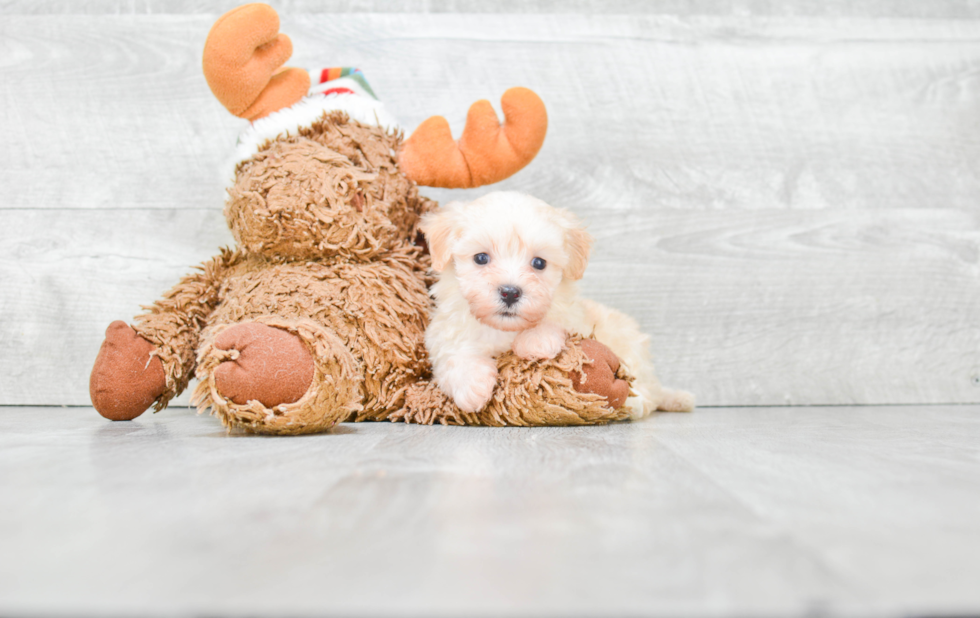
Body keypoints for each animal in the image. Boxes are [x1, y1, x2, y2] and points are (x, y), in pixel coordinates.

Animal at [418, 190, 692, 416]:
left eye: (539, 263)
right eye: (481, 258)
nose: (510, 292)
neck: (505, 330)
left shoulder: (575, 317)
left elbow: (557, 320)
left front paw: (536, 341)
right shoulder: (445, 334)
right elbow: (454, 356)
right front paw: (472, 388)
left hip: (630, 348)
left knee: (645, 394)